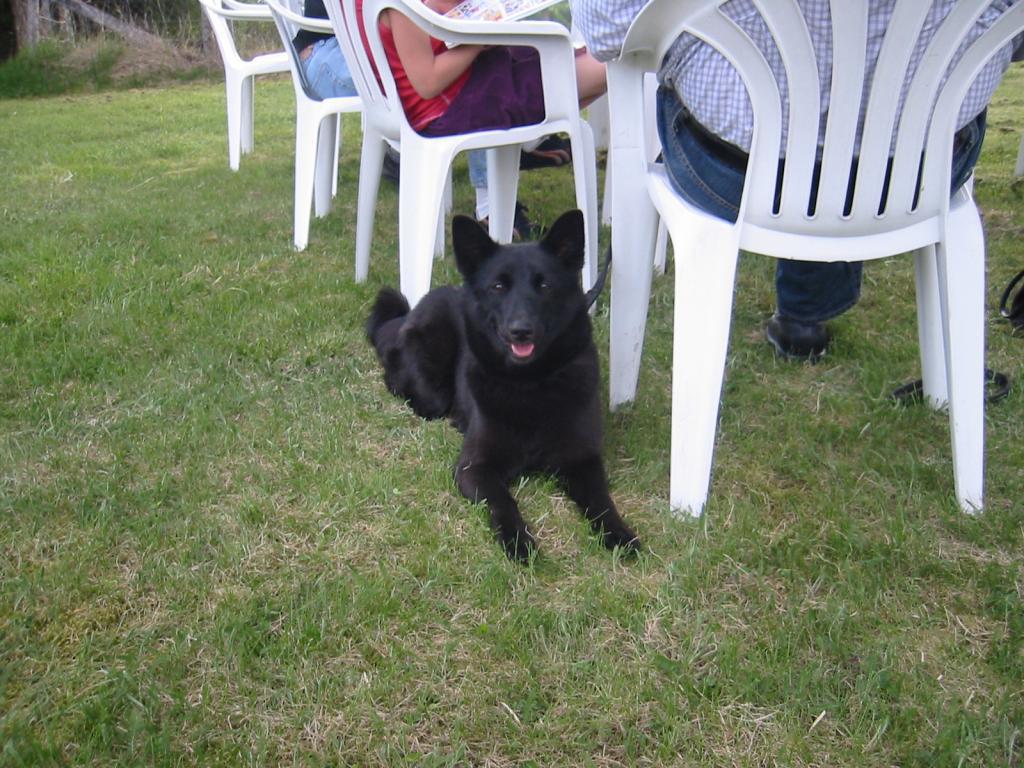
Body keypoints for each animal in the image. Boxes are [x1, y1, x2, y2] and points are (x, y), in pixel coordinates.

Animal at [366, 209, 639, 562]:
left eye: (544, 285)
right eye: (498, 286)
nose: (520, 330)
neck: (531, 384)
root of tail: (412, 312)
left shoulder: (584, 460)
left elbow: (602, 501)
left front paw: (619, 533)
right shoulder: (475, 467)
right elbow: (503, 501)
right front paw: (518, 541)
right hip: (431, 393)